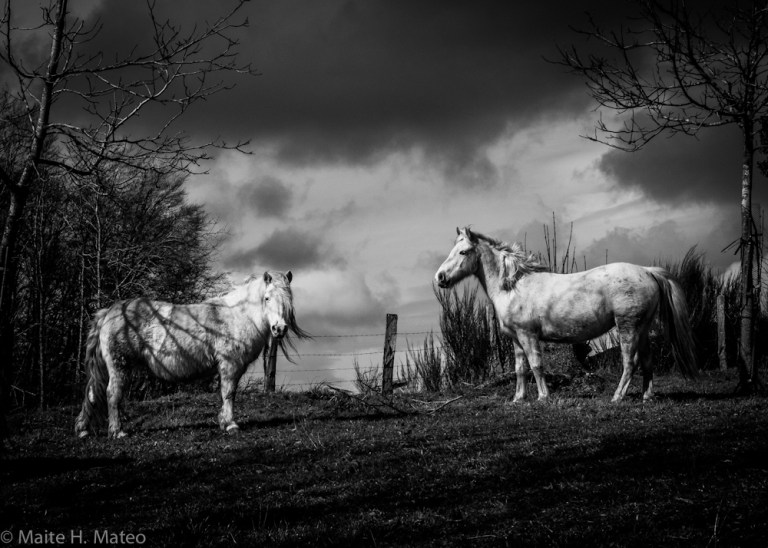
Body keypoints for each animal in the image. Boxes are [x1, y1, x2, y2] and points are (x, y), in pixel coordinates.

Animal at [75, 271, 308, 438]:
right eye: (267, 298)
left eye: (288, 299)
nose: (279, 328)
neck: (237, 316)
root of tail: (110, 311)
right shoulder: (230, 365)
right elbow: (229, 393)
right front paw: (231, 424)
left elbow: (226, 394)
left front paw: (223, 421)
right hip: (119, 366)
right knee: (112, 394)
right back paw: (117, 432)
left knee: (93, 393)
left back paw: (84, 429)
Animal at [435, 227, 697, 402]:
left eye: (463, 252)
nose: (440, 277)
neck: (514, 286)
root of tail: (646, 271)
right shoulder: (516, 339)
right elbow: (520, 368)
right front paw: (518, 399)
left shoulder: (528, 336)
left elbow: (536, 365)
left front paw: (543, 397)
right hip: (641, 329)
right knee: (646, 361)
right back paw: (646, 396)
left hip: (628, 328)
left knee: (629, 363)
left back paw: (617, 397)